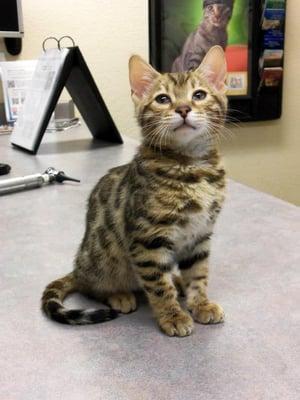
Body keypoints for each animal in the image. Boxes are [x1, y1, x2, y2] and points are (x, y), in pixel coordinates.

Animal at [41, 45, 227, 336]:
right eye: (162, 99)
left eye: (199, 95)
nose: (183, 108)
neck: (191, 167)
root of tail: (78, 266)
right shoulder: (147, 239)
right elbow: (159, 286)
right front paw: (173, 315)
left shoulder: (200, 235)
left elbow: (198, 273)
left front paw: (201, 303)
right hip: (104, 257)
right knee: (90, 286)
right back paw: (119, 295)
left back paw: (177, 281)